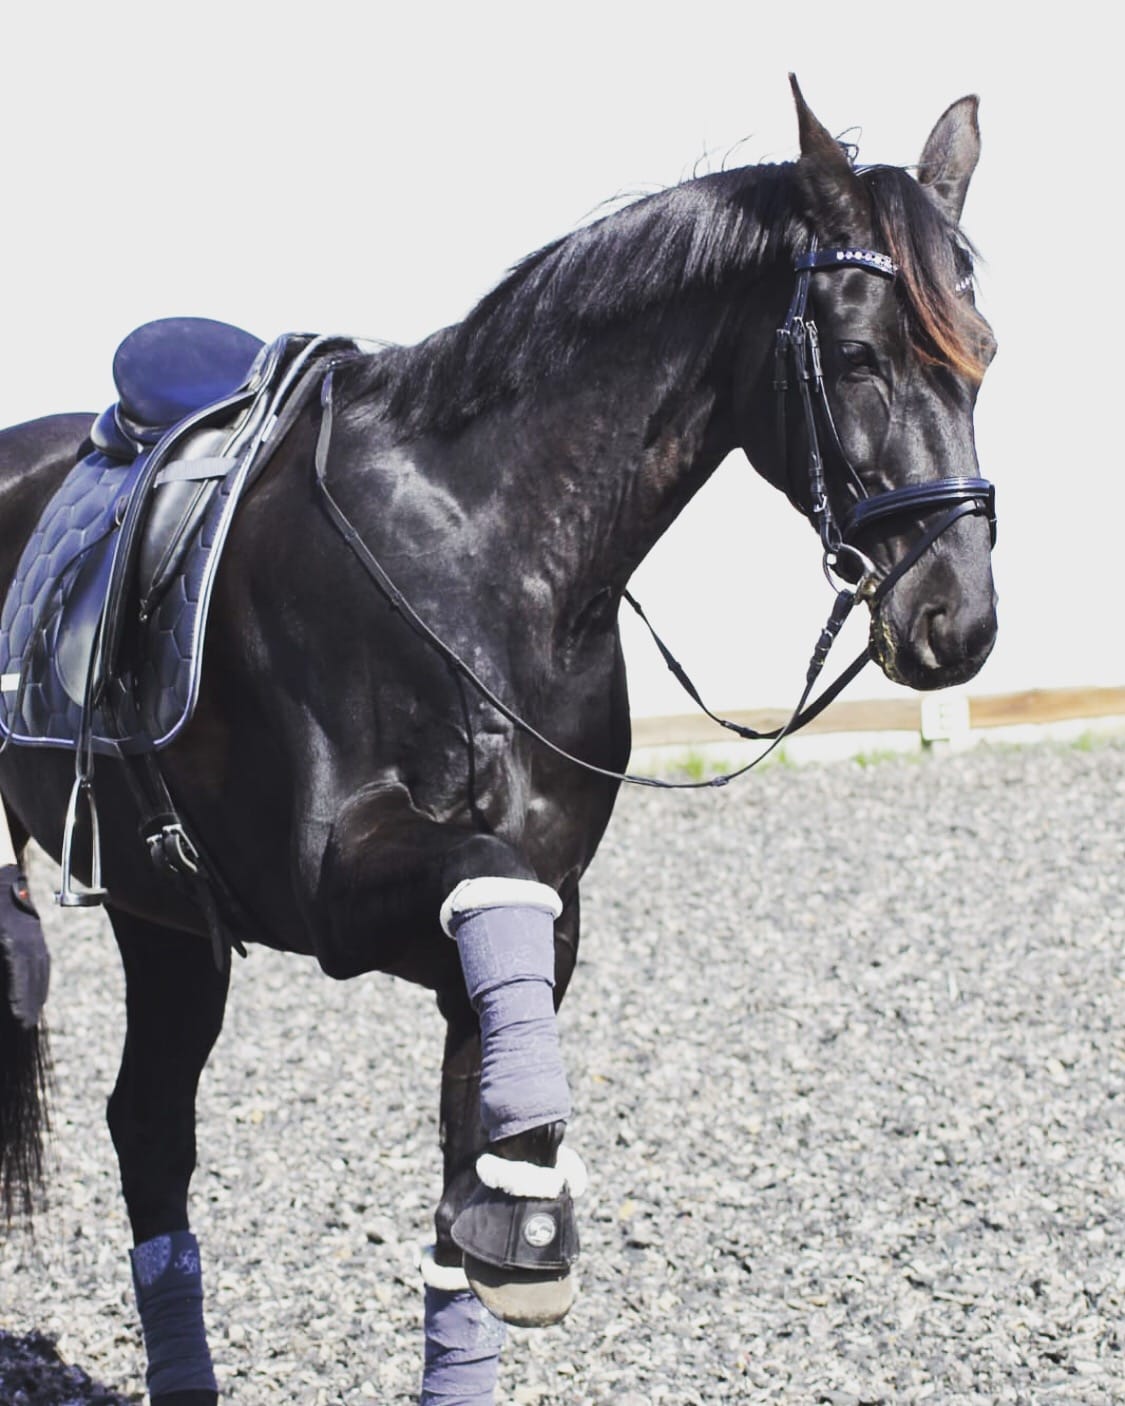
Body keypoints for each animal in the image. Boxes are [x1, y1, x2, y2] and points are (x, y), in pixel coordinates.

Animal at [0, 77, 997, 1404]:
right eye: (857, 356)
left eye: (983, 354)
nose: (960, 617)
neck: (485, 551)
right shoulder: (338, 885)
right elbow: (484, 880)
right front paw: (532, 1211)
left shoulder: (536, 911)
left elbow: (463, 1194)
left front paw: (513, 1211)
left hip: (162, 912)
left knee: (149, 1124)